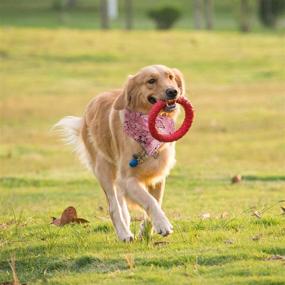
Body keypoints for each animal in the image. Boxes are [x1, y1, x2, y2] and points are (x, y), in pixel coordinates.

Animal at [55, 63, 184, 240]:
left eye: (170, 77)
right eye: (151, 81)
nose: (173, 91)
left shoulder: (157, 177)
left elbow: (156, 201)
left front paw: (146, 231)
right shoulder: (128, 180)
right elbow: (149, 201)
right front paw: (163, 225)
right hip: (103, 170)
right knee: (113, 207)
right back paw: (124, 234)